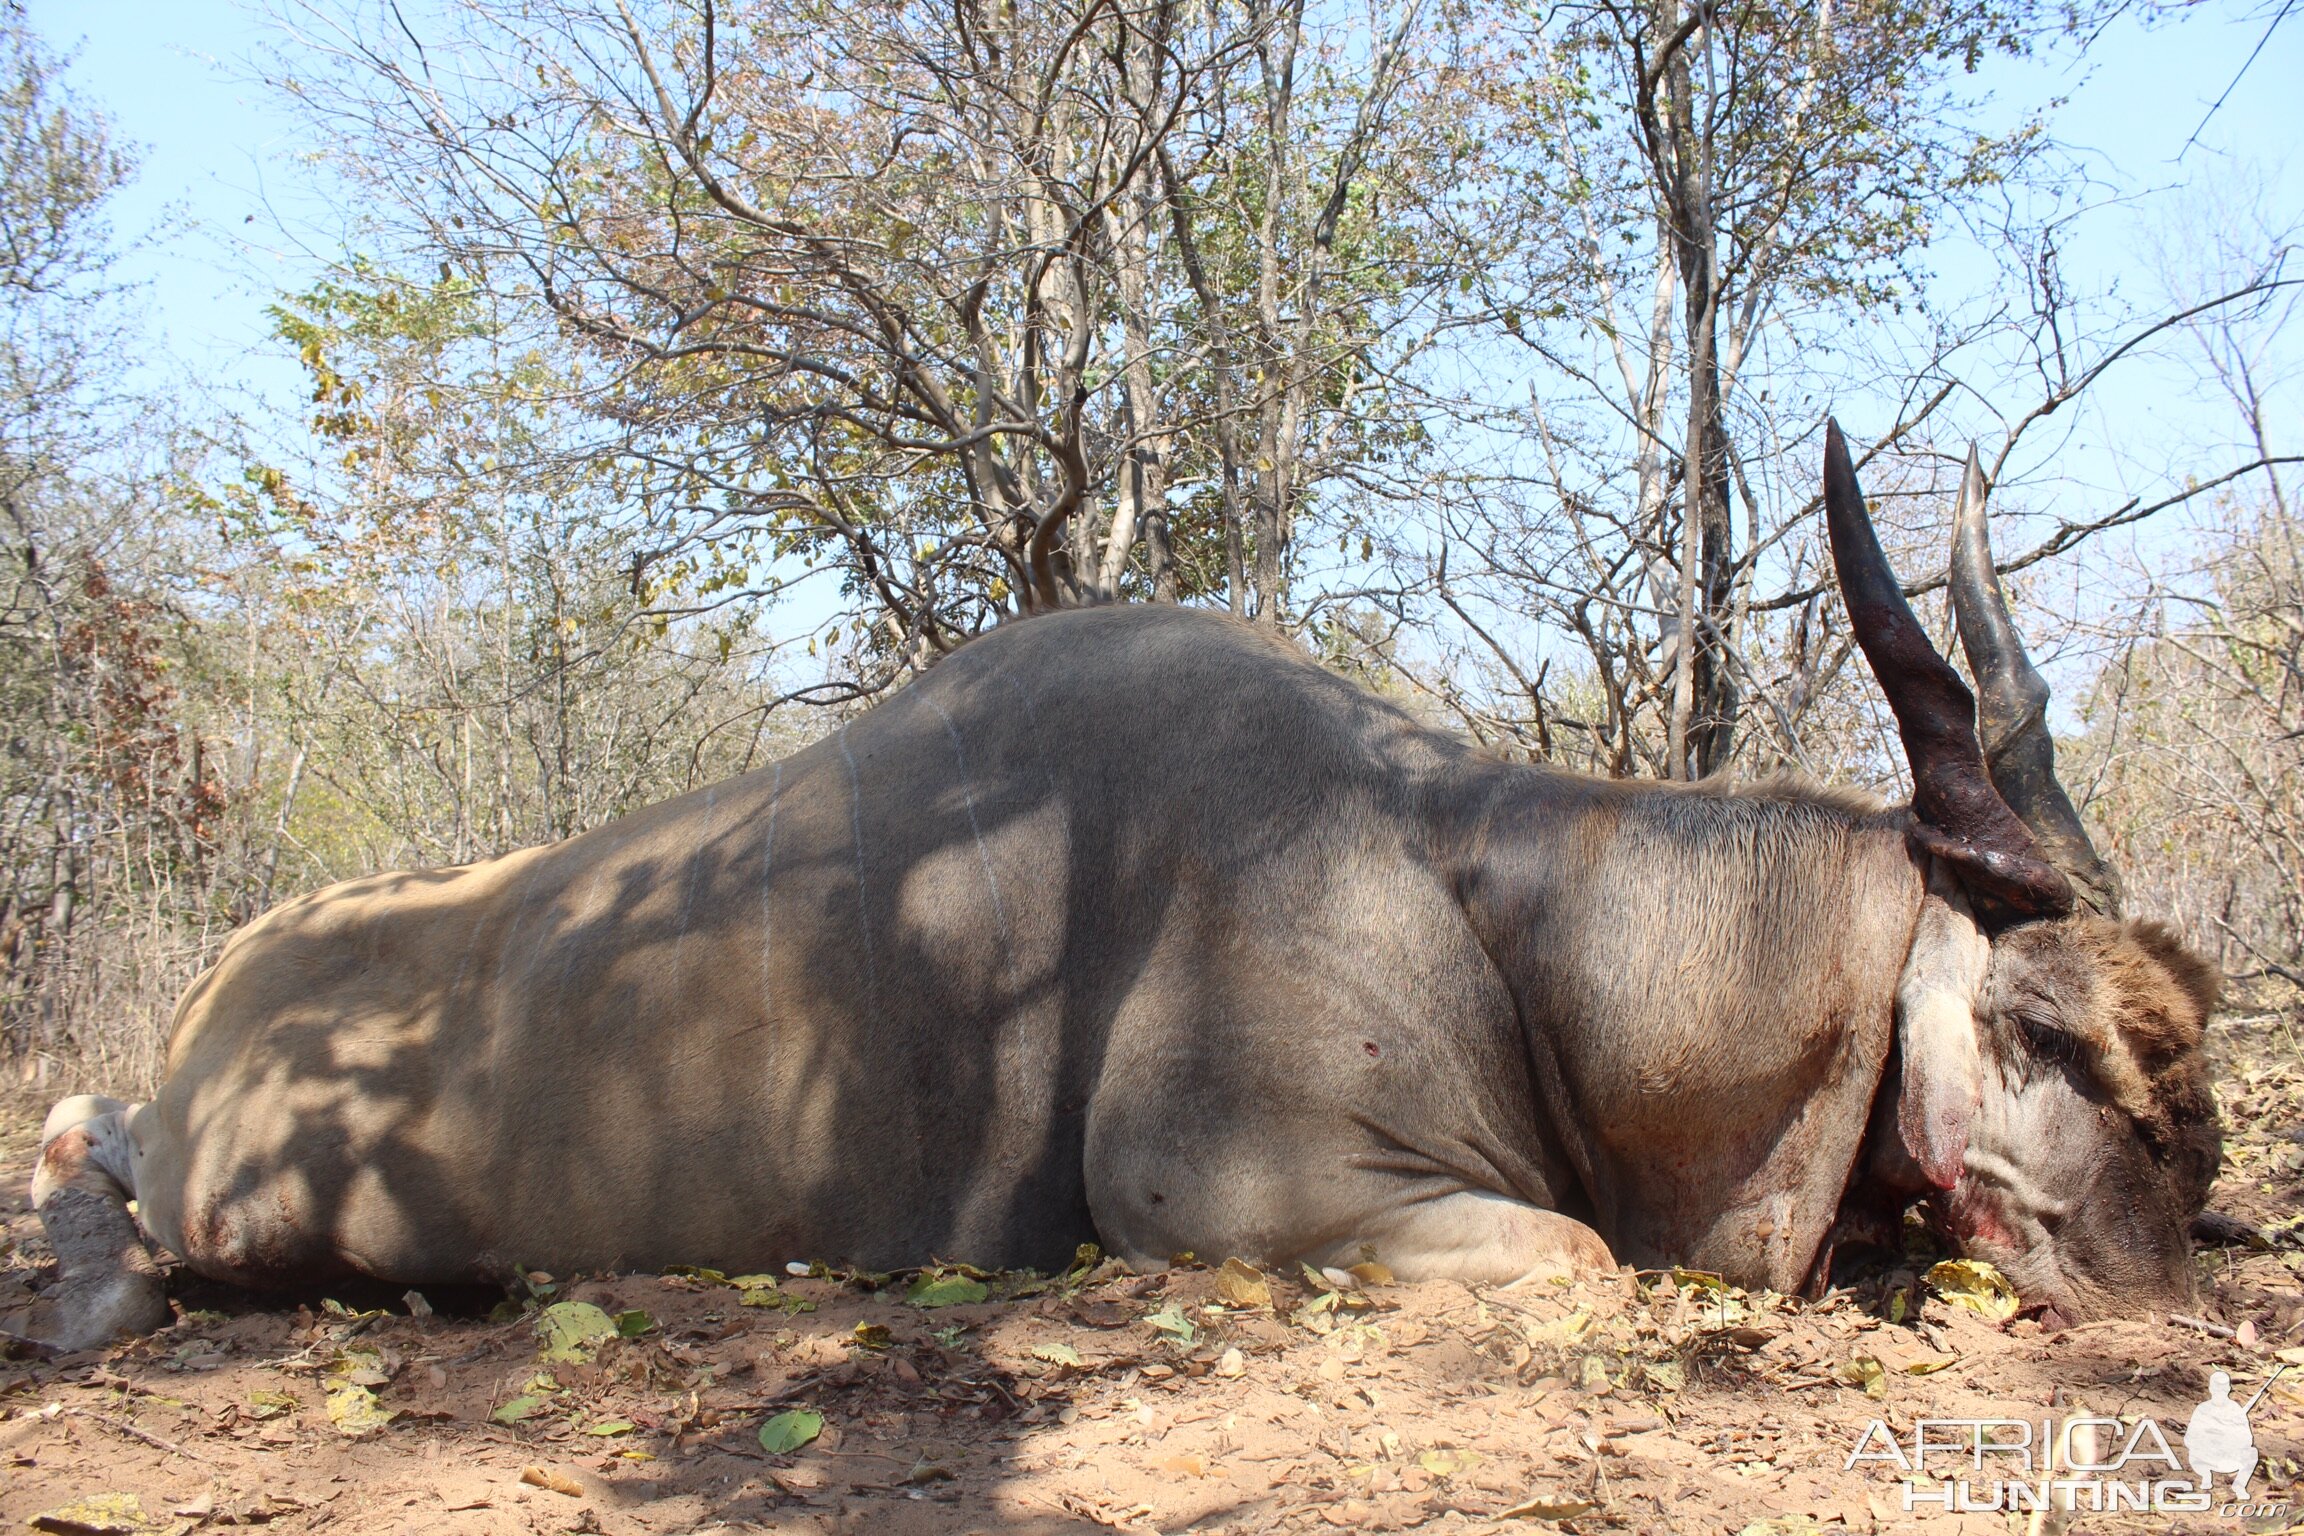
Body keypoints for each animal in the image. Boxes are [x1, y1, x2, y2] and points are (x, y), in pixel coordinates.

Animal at [9, 421, 2221, 1344]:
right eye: (2049, 1032)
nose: (2175, 1290)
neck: (1486, 887)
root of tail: (221, 999)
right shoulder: (1247, 1195)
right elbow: (1583, 1260)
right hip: (249, 1198)